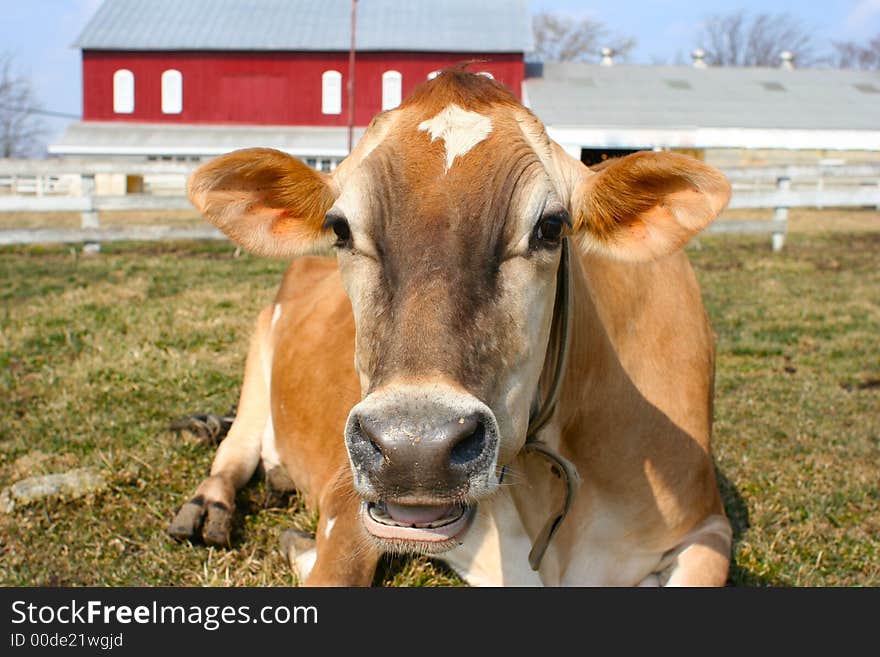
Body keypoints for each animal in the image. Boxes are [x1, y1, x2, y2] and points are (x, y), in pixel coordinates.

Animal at [168, 69, 732, 588]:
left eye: (552, 226)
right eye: (340, 228)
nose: (415, 451)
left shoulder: (707, 526)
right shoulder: (349, 502)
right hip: (259, 358)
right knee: (234, 453)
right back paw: (208, 503)